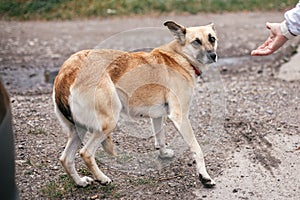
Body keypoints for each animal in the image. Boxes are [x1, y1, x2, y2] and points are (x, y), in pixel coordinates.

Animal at [53, 21, 218, 188]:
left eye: (212, 39)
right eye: (196, 41)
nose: (213, 55)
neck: (181, 57)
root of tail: (67, 71)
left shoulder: (157, 116)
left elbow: (160, 139)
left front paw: (163, 154)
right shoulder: (180, 116)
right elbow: (197, 149)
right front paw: (204, 176)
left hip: (78, 130)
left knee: (66, 159)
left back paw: (80, 182)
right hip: (108, 123)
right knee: (85, 153)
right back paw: (102, 178)